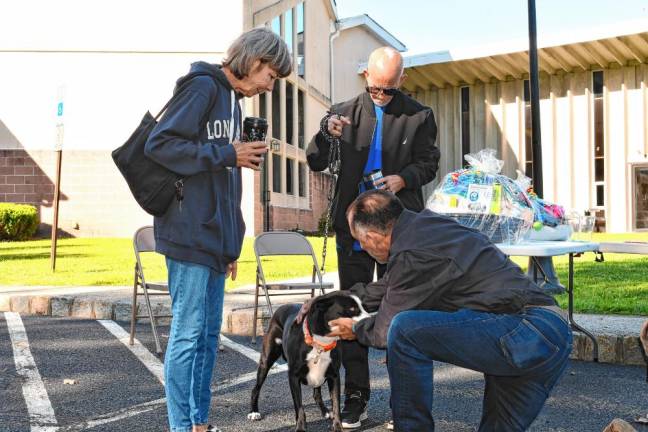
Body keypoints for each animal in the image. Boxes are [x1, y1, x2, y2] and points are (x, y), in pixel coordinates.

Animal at [248, 292, 370, 430]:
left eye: (364, 307)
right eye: (352, 309)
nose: (370, 321)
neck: (320, 343)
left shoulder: (334, 376)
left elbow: (336, 405)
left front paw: (337, 427)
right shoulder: (294, 377)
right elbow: (299, 408)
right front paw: (301, 428)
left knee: (316, 394)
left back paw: (325, 411)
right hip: (266, 361)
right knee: (255, 389)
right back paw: (254, 412)